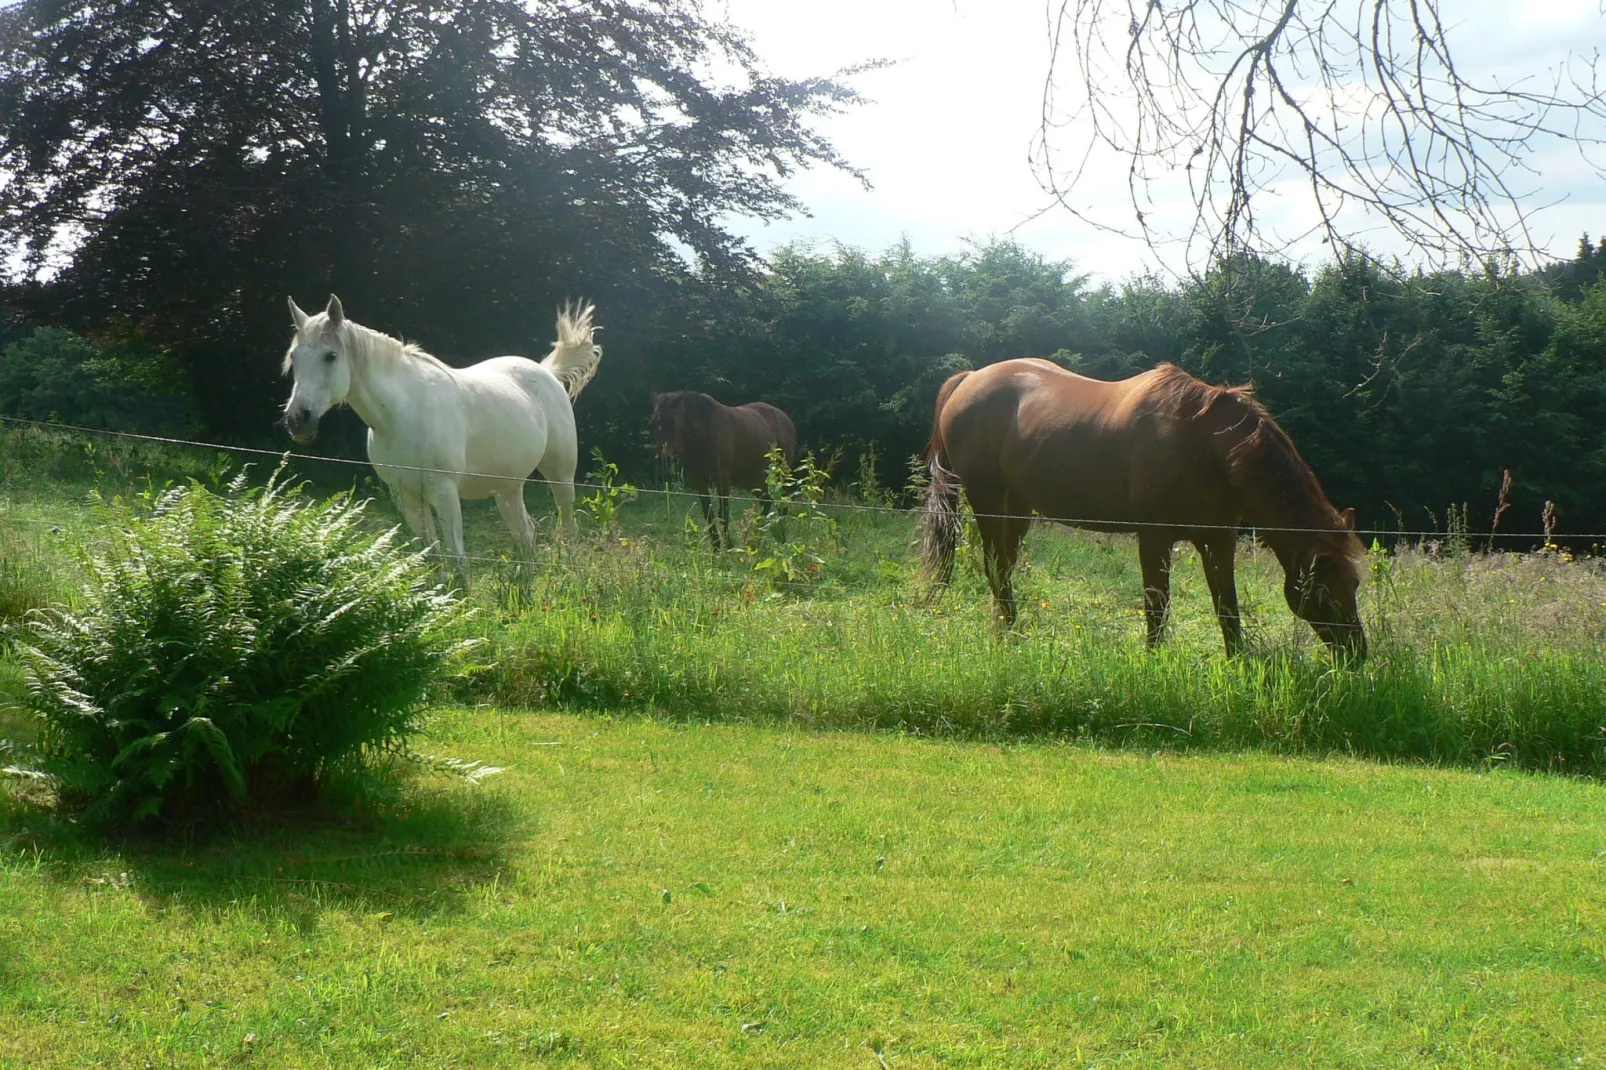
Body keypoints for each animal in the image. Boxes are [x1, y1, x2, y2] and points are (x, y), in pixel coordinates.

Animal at [282, 292, 603, 584]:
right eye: (294, 357)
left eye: (330, 356)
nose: (298, 419)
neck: (402, 413)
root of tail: (546, 372)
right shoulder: (407, 496)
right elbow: (431, 555)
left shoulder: (444, 491)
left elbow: (456, 555)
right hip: (507, 488)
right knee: (525, 532)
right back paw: (527, 584)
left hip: (560, 474)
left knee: (566, 522)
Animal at [648, 387, 799, 546]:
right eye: (653, 422)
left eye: (672, 420)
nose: (662, 457)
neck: (703, 432)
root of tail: (786, 419)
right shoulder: (700, 479)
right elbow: (708, 512)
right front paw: (716, 546)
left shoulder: (722, 478)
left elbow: (723, 511)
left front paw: (728, 546)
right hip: (750, 478)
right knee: (766, 500)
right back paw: (755, 540)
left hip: (781, 473)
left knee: (781, 504)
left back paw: (779, 540)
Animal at [918, 358, 1368, 655]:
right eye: (1323, 589)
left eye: (1355, 584)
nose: (1357, 654)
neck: (1205, 446)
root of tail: (968, 379)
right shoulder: (1154, 538)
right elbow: (1157, 605)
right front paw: (1153, 662)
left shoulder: (1218, 541)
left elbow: (1227, 607)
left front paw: (1237, 663)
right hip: (987, 500)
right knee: (995, 567)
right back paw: (1010, 638)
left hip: (1018, 509)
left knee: (1005, 568)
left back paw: (1008, 632)